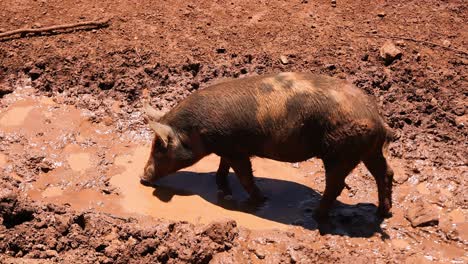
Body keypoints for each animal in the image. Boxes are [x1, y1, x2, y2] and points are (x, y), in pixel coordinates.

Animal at [140, 72, 394, 219]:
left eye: (159, 147)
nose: (142, 178)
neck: (196, 131)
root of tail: (377, 117)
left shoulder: (235, 149)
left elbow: (244, 175)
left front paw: (260, 201)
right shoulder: (228, 148)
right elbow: (224, 166)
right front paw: (220, 183)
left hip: (339, 153)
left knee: (336, 184)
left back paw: (314, 214)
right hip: (370, 150)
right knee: (385, 173)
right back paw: (382, 212)